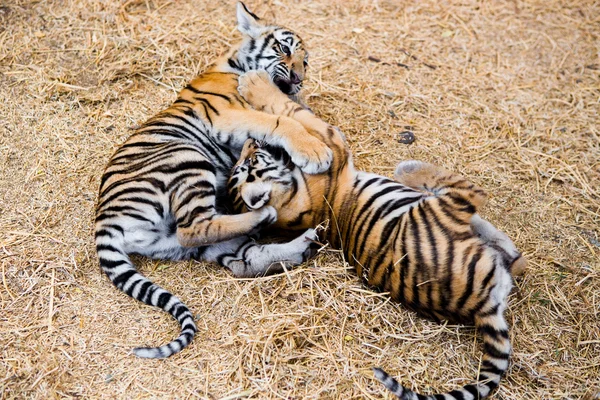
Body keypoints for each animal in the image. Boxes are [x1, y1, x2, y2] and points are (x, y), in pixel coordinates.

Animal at [96, 1, 336, 360]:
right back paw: (266, 216)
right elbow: (280, 120)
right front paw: (315, 151)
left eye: (304, 62)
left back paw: (297, 245)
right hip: (186, 157)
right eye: (284, 50)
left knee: (237, 257)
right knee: (195, 226)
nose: (298, 79)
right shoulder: (230, 116)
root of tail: (103, 221)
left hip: (179, 242)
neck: (233, 64)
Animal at [227, 72, 528, 400]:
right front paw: (254, 83)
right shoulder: (332, 141)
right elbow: (288, 110)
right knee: (472, 193)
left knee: (513, 258)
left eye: (247, 160)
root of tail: (480, 308)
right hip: (444, 207)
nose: (248, 141)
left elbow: (293, 108)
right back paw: (411, 169)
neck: (291, 204)